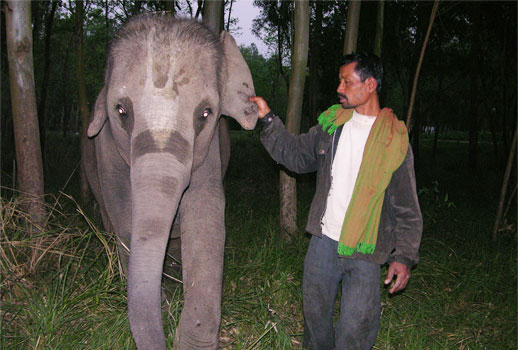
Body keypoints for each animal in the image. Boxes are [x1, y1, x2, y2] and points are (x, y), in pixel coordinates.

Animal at [82, 15, 256, 348]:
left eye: (205, 113)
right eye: (121, 111)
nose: (167, 335)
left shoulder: (209, 150)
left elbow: (206, 218)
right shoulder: (106, 149)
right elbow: (124, 216)